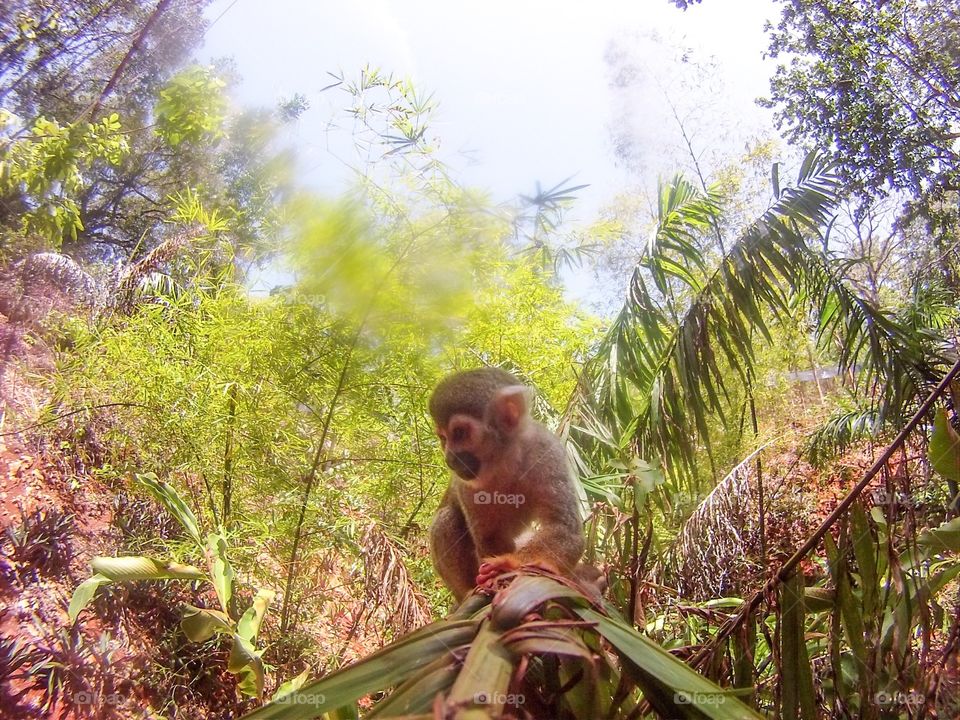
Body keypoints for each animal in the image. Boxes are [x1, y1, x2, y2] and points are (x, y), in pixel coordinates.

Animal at [427, 367, 603, 601]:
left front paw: (508, 563)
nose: (450, 459)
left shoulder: (546, 450)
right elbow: (489, 537)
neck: (504, 459)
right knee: (447, 518)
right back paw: (469, 591)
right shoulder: (466, 485)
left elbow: (565, 529)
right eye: (443, 438)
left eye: (459, 433)